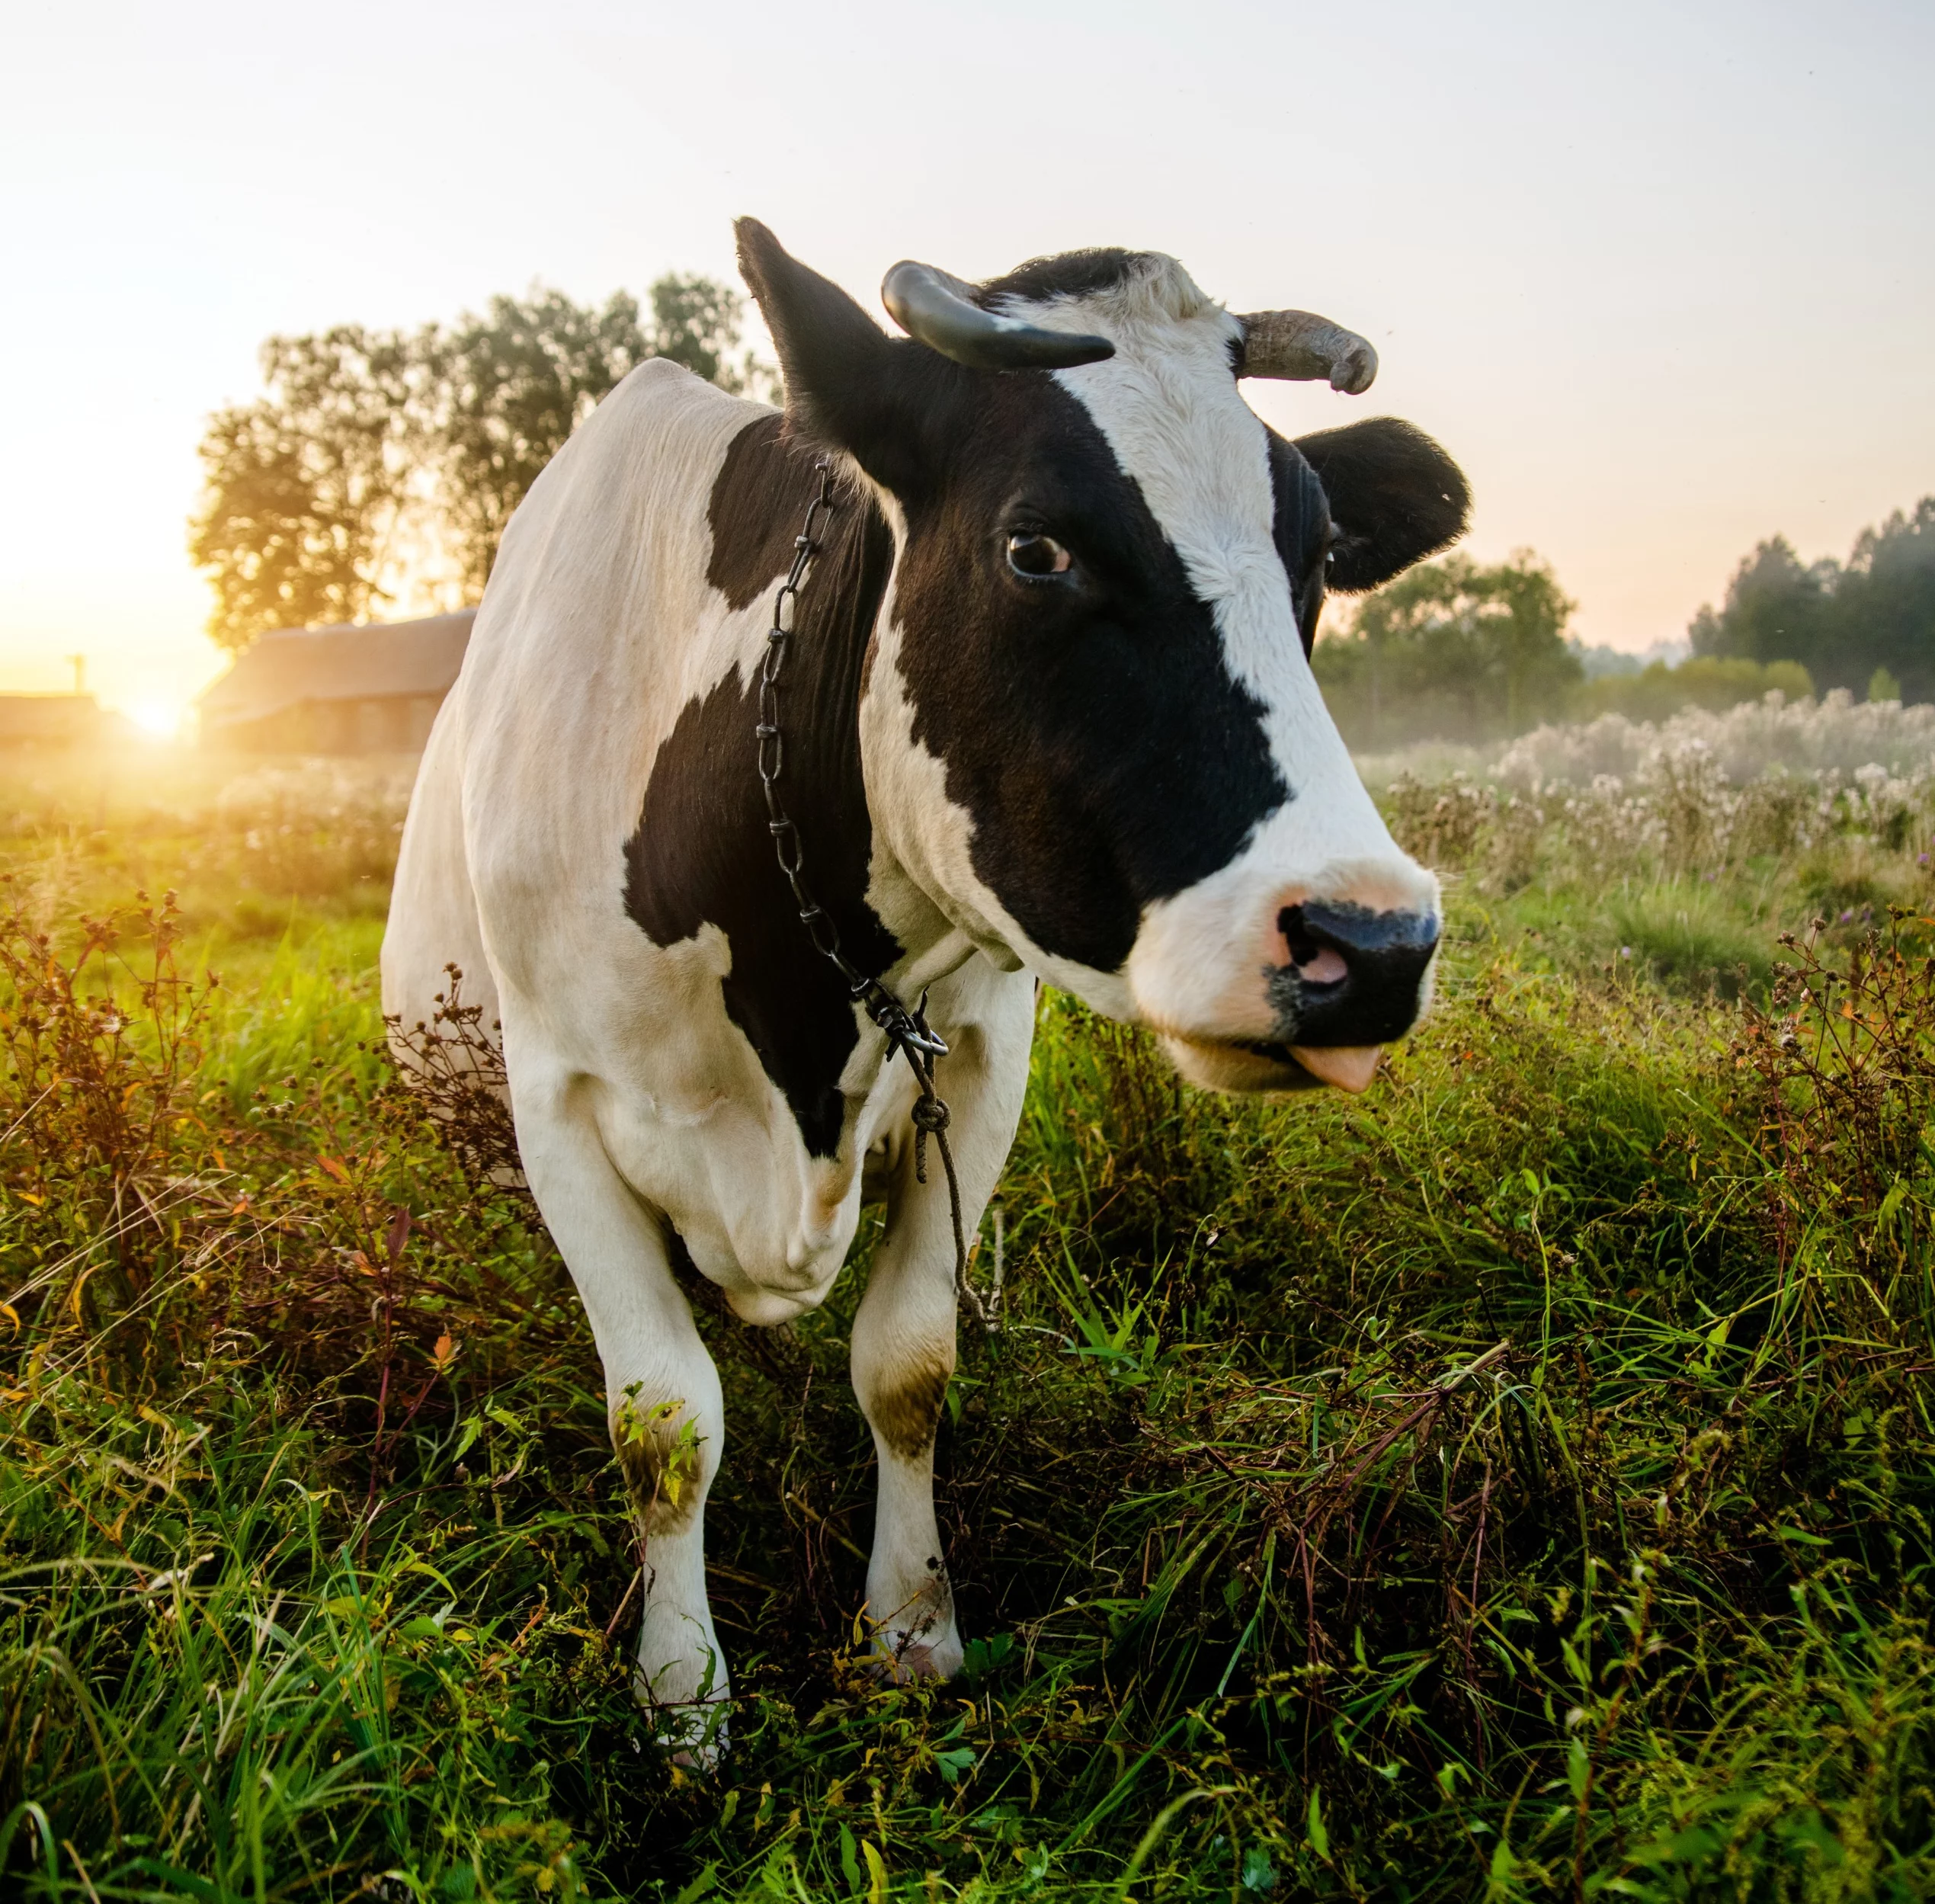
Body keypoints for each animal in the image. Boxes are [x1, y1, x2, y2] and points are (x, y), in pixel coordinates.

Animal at [377, 216, 1462, 1749]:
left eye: (1311, 557)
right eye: (1033, 545)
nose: (1366, 943)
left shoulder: (984, 1061)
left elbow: (905, 1365)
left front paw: (911, 1628)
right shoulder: (559, 1105)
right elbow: (663, 1417)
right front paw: (682, 1693)